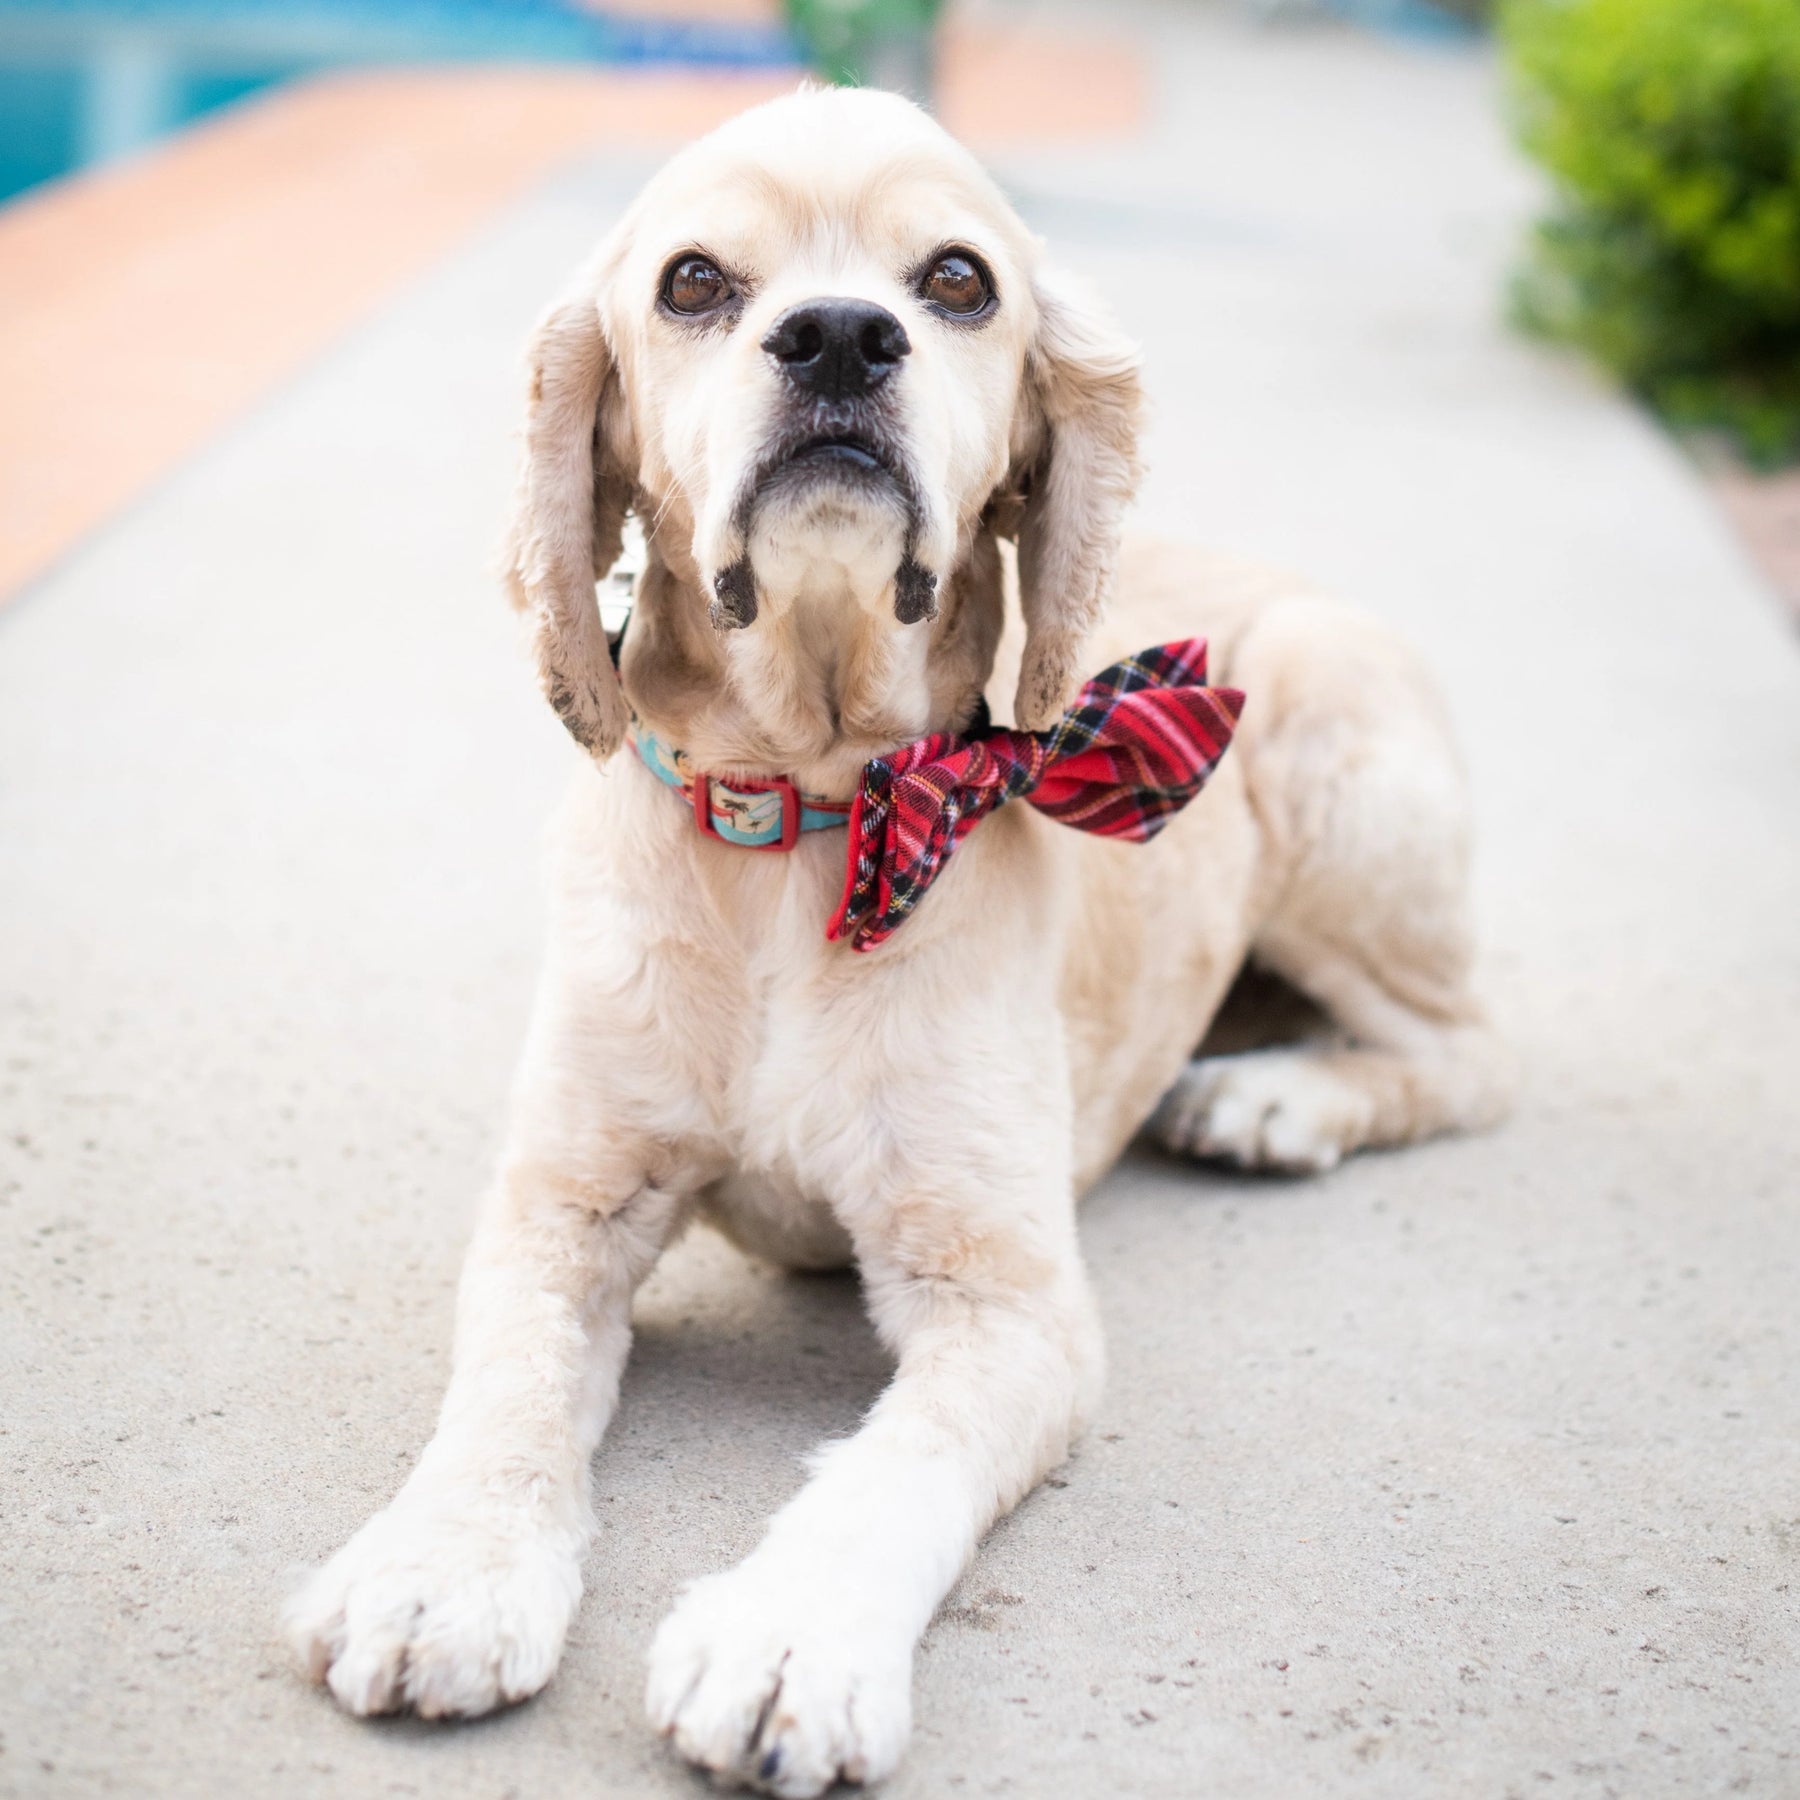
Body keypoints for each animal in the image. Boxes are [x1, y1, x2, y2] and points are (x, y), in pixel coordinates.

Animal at [284, 87, 1519, 1800]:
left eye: (955, 282)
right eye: (692, 283)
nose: (839, 339)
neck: (805, 821)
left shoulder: (1009, 1303)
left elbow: (892, 1470)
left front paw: (789, 1640)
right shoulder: (562, 1200)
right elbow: (504, 1397)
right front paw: (438, 1570)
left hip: (1343, 781)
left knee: (1467, 1054)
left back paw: (1275, 1098)